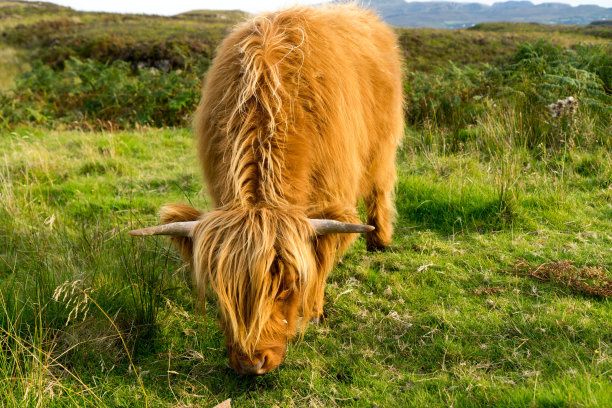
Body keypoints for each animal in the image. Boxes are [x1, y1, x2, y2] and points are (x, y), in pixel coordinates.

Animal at [129, 5, 404, 376]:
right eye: (219, 289)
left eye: (287, 285)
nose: (251, 363)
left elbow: (321, 258)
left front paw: (314, 312)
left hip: (382, 144)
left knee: (379, 188)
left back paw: (380, 240)